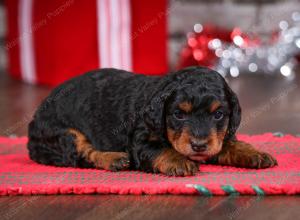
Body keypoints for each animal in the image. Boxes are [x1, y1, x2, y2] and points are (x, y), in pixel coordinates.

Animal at [27, 66, 278, 176]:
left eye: (218, 114)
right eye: (178, 114)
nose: (198, 145)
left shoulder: (216, 138)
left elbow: (228, 143)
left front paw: (254, 153)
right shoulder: (140, 140)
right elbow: (161, 150)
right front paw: (179, 162)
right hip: (62, 134)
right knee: (82, 154)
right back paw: (114, 159)